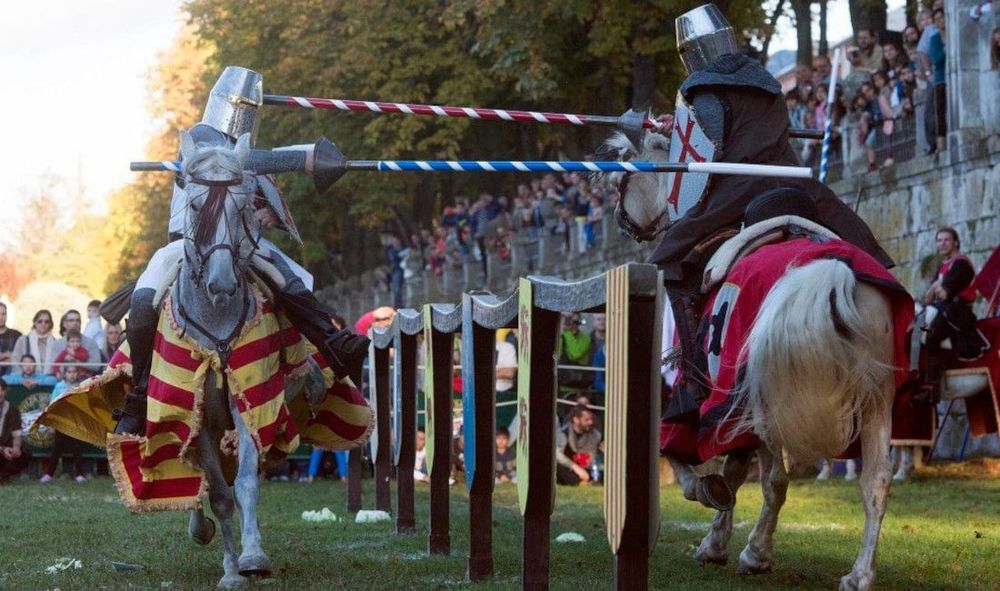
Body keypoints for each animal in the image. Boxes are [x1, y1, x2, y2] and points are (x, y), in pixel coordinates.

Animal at [604, 132, 904, 588]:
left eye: (621, 179)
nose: (621, 219)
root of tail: (832, 270)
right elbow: (732, 469)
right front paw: (716, 540)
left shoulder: (707, 398)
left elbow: (687, 456)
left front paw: (711, 510)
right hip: (874, 398)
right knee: (875, 481)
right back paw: (859, 574)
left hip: (767, 399)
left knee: (776, 479)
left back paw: (757, 552)